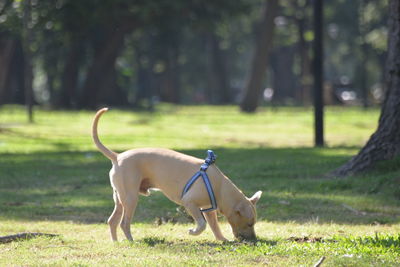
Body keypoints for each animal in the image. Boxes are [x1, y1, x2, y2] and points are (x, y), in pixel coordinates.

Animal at [93, 108, 262, 242]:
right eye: (249, 223)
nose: (254, 239)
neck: (219, 186)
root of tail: (117, 156)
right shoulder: (189, 202)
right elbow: (202, 224)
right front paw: (193, 232)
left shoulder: (208, 210)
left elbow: (214, 226)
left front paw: (222, 239)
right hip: (130, 197)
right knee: (124, 223)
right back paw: (130, 240)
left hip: (119, 198)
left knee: (112, 221)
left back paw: (115, 242)